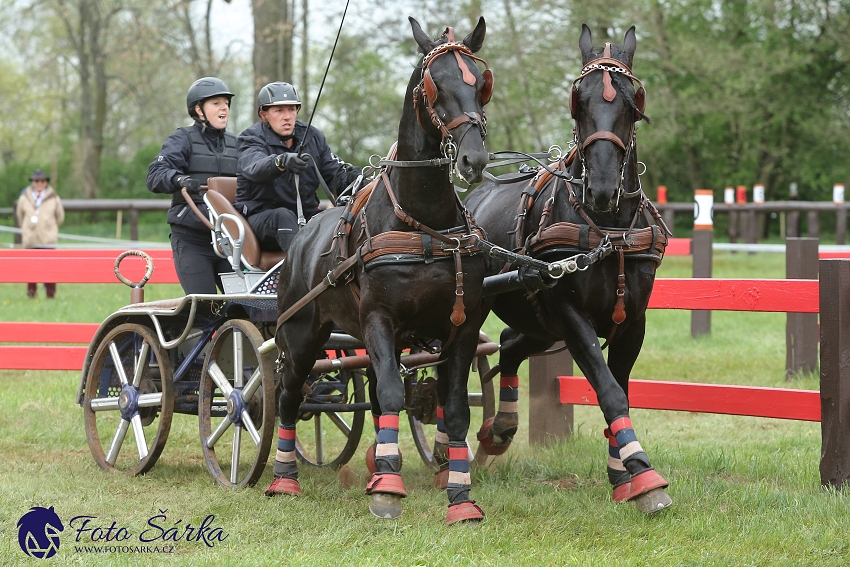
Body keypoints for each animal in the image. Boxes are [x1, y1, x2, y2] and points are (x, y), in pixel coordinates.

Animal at [268, 16, 494, 524]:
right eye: (434, 84)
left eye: (480, 83)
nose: (473, 160)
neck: (425, 224)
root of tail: (301, 237)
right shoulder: (379, 321)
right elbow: (392, 394)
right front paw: (388, 489)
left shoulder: (463, 328)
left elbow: (454, 410)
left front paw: (460, 496)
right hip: (301, 336)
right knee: (290, 396)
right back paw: (283, 477)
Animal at [464, 24, 668, 516]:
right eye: (579, 102)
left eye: (633, 104)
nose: (602, 188)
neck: (609, 231)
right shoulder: (572, 317)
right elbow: (608, 389)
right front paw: (643, 473)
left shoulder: (633, 322)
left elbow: (621, 390)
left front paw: (621, 473)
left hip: (539, 320)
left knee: (510, 343)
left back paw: (501, 427)